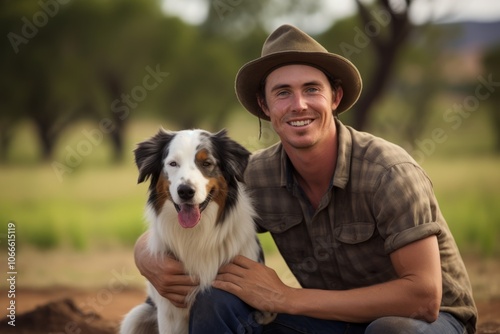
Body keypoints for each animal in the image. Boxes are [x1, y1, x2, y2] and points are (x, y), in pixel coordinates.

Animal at [121, 129, 278, 334]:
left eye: (207, 163)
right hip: (135, 318)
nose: (185, 191)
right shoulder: (169, 312)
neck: (197, 233)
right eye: (173, 163)